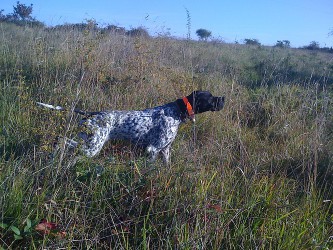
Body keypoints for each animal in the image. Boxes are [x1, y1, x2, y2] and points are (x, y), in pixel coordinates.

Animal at [36, 90, 224, 164]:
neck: (177, 111)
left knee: (61, 139)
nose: (223, 98)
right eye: (210, 97)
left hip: (87, 141)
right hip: (92, 147)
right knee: (67, 147)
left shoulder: (165, 150)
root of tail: (92, 114)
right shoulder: (153, 149)